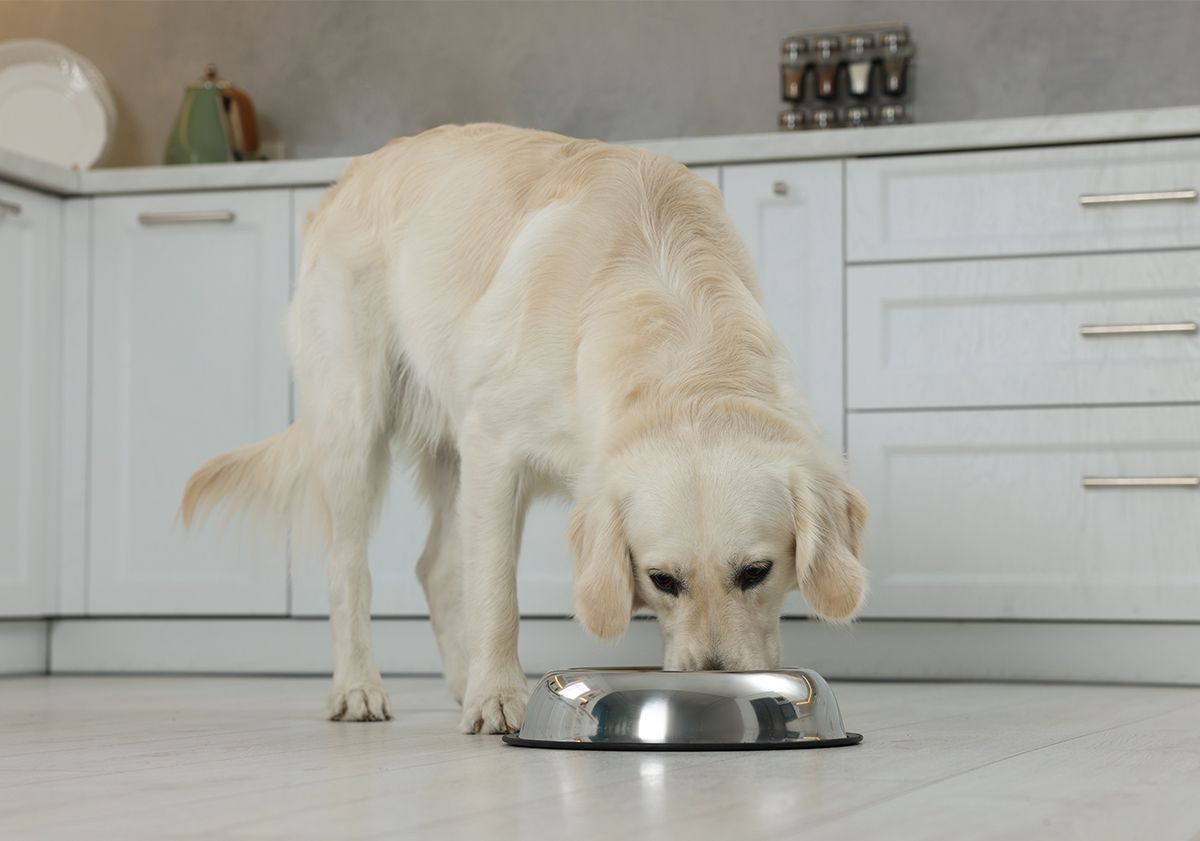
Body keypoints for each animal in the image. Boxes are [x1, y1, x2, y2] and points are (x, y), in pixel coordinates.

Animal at [180, 121, 864, 729]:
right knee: (348, 568)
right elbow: (496, 595)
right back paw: (359, 688)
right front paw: (497, 698)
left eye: (757, 572)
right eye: (661, 580)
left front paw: (483, 690)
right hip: (356, 424)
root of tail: (351, 174)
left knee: (436, 566)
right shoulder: (494, 449)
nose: (715, 681)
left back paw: (459, 681)